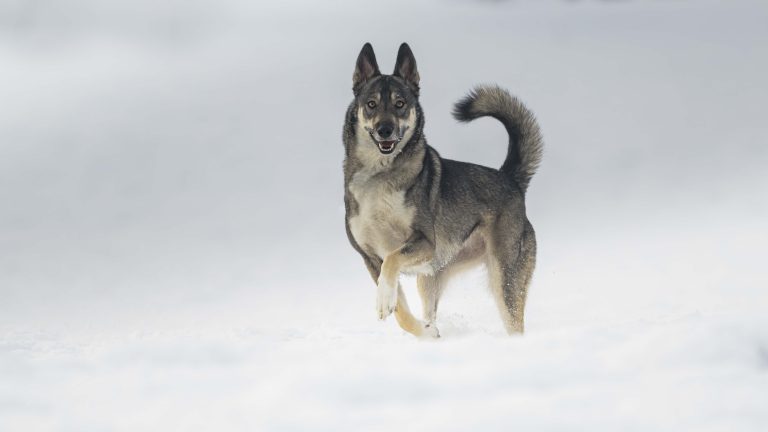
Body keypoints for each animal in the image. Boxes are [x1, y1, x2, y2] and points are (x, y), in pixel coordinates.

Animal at [344, 41, 544, 338]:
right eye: (371, 104)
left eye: (400, 104)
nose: (385, 130)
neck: (379, 176)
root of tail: (510, 179)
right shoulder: (370, 258)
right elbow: (399, 309)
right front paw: (425, 331)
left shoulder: (424, 241)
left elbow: (392, 260)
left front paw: (386, 305)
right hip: (430, 277)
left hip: (505, 279)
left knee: (514, 321)